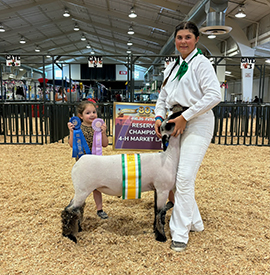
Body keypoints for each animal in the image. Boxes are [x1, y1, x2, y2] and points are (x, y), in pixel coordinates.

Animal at [61, 112, 181, 244]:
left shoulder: (156, 189)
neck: (169, 157)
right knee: (70, 210)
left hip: (80, 191)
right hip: (82, 190)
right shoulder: (162, 189)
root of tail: (79, 161)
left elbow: (156, 211)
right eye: (168, 123)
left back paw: (77, 228)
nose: (180, 113)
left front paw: (156, 231)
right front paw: (161, 236)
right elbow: (160, 213)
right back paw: (69, 235)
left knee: (76, 208)